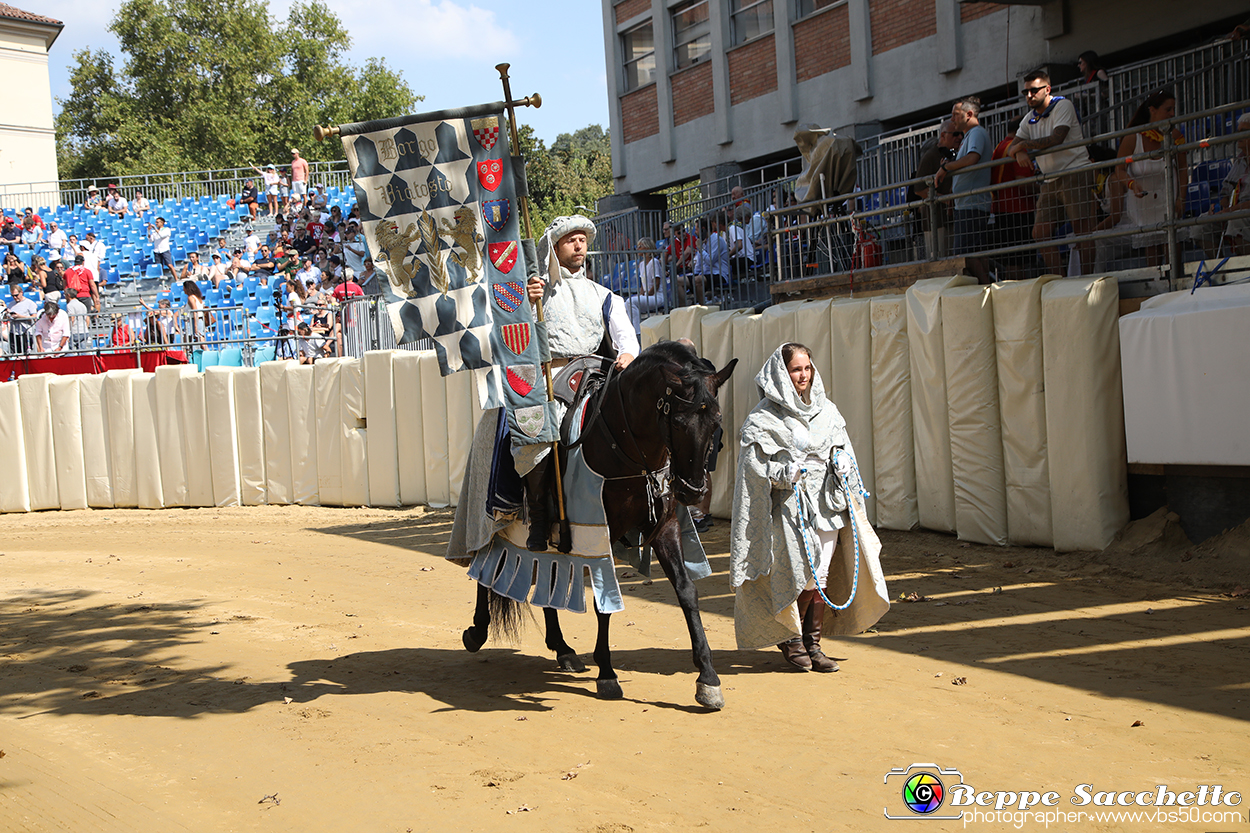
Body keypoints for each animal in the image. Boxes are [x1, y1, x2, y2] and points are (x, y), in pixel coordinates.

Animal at [460, 337, 730, 705]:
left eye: (716, 422)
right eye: (677, 421)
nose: (693, 491)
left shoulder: (665, 528)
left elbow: (686, 591)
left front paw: (707, 677)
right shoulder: (601, 534)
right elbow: (605, 601)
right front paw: (606, 673)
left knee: (546, 581)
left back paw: (562, 649)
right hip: (492, 520)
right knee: (484, 570)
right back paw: (476, 630)